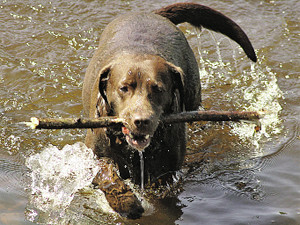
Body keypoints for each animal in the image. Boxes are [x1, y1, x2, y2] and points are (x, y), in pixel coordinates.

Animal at [81, 2, 255, 219]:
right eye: (124, 88)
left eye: (158, 89)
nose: (141, 121)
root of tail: (152, 13)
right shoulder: (94, 154)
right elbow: (106, 174)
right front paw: (126, 203)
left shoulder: (167, 169)